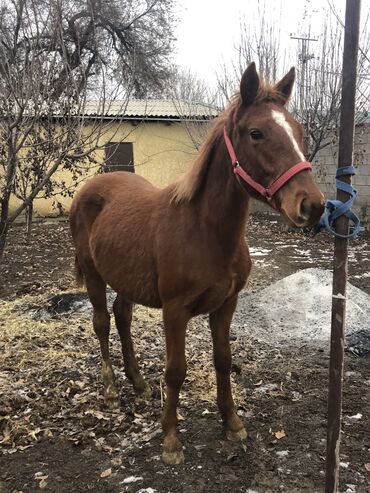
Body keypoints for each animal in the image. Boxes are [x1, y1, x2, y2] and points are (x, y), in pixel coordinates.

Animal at [69, 63, 324, 464]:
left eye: (299, 132)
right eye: (256, 133)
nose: (312, 205)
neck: (205, 231)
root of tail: (90, 188)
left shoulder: (226, 304)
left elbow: (223, 359)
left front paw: (232, 424)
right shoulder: (175, 312)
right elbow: (176, 370)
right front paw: (171, 440)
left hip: (127, 280)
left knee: (122, 317)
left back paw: (138, 383)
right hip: (94, 275)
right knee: (102, 323)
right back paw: (111, 390)